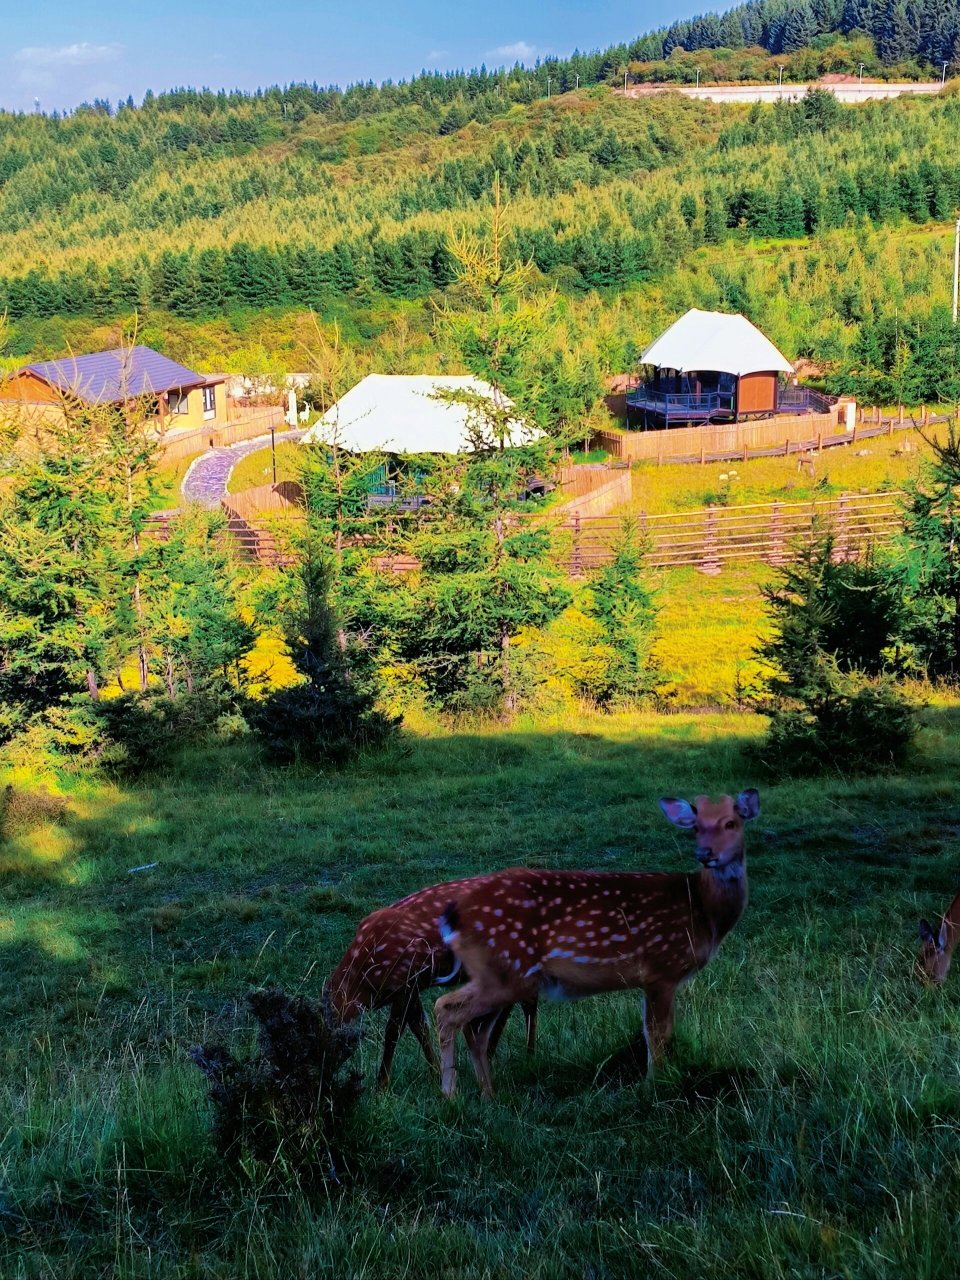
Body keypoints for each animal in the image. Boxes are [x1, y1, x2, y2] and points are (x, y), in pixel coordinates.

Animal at [327, 870, 537, 1090]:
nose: (325, 1084)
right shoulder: (413, 984)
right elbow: (419, 1026)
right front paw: (436, 1074)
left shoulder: (405, 978)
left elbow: (393, 1031)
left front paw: (381, 1086)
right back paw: (491, 1052)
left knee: (528, 998)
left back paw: (528, 1056)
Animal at [435, 788, 757, 1100]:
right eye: (696, 827)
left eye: (731, 823)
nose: (706, 854)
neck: (703, 911)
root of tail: (453, 914)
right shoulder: (662, 967)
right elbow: (656, 1032)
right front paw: (653, 1085)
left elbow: (660, 1031)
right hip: (506, 971)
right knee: (446, 1008)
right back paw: (450, 1096)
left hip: (500, 975)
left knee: (473, 1028)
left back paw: (488, 1094)